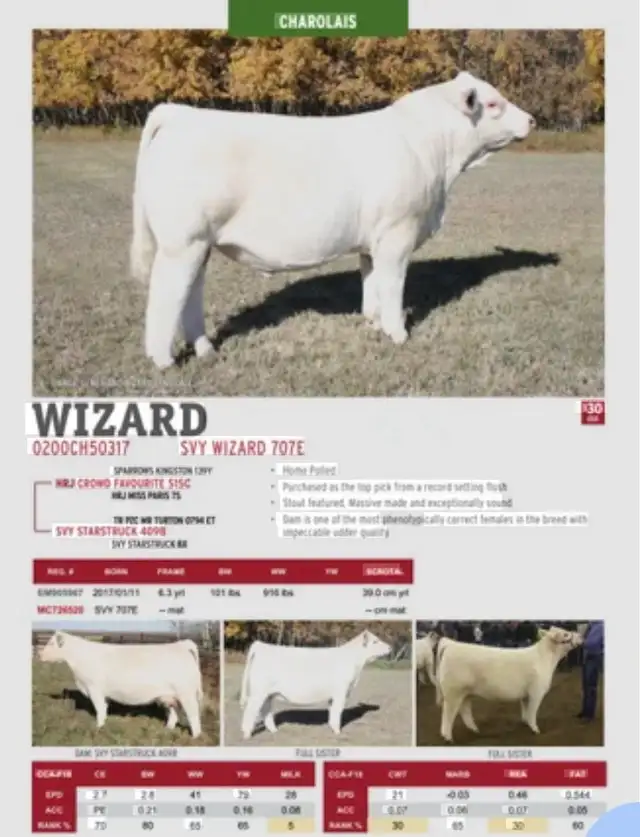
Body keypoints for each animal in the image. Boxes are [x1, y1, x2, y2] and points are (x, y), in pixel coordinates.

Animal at [38, 631, 204, 737]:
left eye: (51, 643)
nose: (39, 654)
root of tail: (181, 645)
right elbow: (104, 708)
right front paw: (102, 726)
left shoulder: (94, 688)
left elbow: (99, 709)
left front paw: (98, 727)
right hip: (169, 695)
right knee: (173, 713)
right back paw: (167, 729)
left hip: (186, 694)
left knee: (193, 714)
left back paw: (195, 736)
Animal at [130, 71, 536, 369]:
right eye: (494, 103)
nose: (531, 119)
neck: (439, 160)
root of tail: (181, 113)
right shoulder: (398, 232)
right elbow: (392, 286)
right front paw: (398, 334)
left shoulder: (373, 241)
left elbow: (371, 283)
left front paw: (373, 324)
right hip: (183, 242)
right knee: (166, 295)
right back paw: (163, 360)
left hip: (199, 245)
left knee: (190, 294)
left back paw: (204, 349)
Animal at [238, 629, 391, 739]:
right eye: (375, 641)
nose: (390, 647)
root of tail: (261, 646)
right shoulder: (341, 691)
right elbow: (337, 711)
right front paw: (338, 732)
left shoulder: (334, 695)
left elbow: (332, 711)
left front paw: (332, 728)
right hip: (258, 692)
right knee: (250, 711)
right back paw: (247, 734)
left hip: (268, 693)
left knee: (266, 710)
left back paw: (274, 730)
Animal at [431, 626, 583, 742]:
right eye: (565, 634)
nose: (580, 635)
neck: (545, 659)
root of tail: (451, 644)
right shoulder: (536, 692)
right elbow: (533, 711)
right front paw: (535, 729)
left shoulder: (526, 694)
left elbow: (526, 710)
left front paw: (525, 723)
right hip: (453, 691)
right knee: (448, 712)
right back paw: (448, 737)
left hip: (465, 692)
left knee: (465, 710)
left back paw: (474, 730)